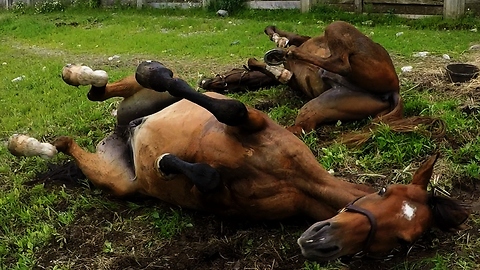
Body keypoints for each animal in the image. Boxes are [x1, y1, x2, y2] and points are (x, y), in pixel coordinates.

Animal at [7, 61, 464, 262]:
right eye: (383, 190)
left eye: (401, 242)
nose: (322, 240)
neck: (294, 178)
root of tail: (123, 131)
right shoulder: (250, 122)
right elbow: (231, 107)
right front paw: (157, 72)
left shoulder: (225, 199)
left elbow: (208, 177)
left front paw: (169, 163)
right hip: (142, 101)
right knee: (108, 89)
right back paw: (83, 74)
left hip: (116, 180)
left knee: (66, 141)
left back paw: (27, 144)